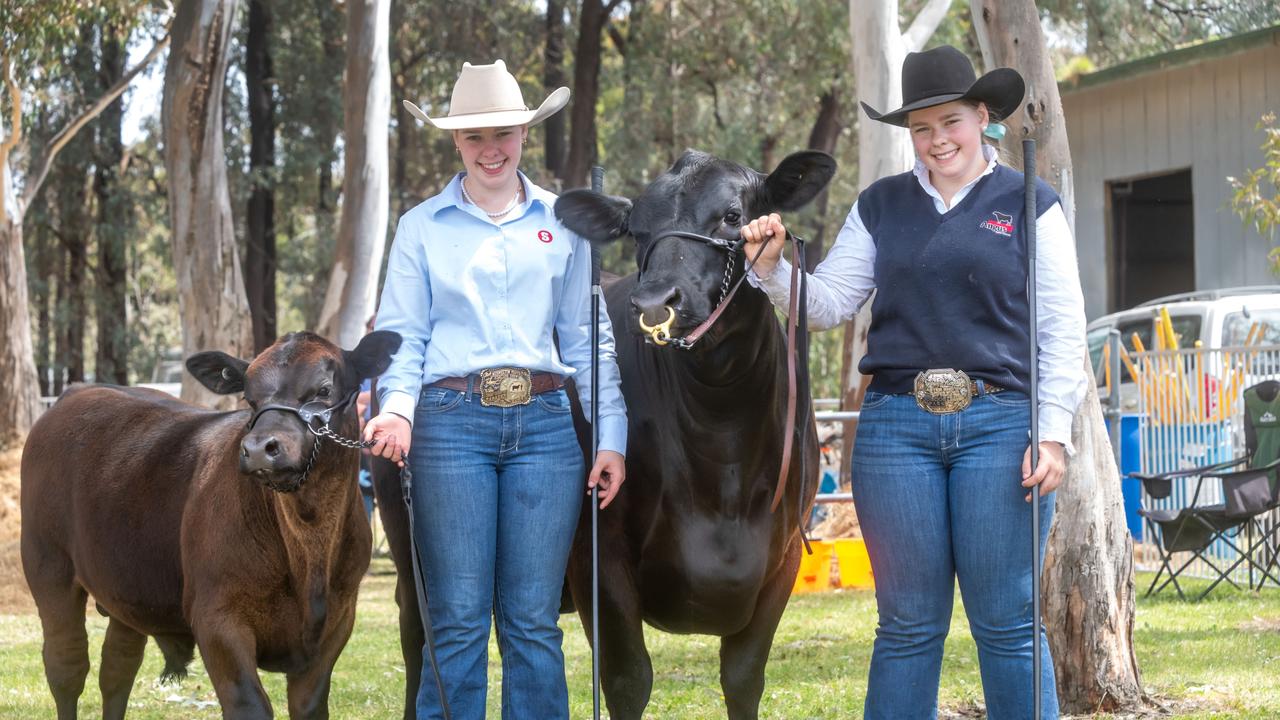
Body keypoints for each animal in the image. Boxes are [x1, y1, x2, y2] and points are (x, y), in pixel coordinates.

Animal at [21, 327, 399, 712]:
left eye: (323, 390)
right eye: (248, 397)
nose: (259, 448)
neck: (310, 547)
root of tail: (81, 389)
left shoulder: (337, 623)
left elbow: (309, 705)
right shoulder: (217, 618)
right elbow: (249, 703)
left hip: (125, 583)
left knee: (117, 668)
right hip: (47, 567)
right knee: (66, 667)